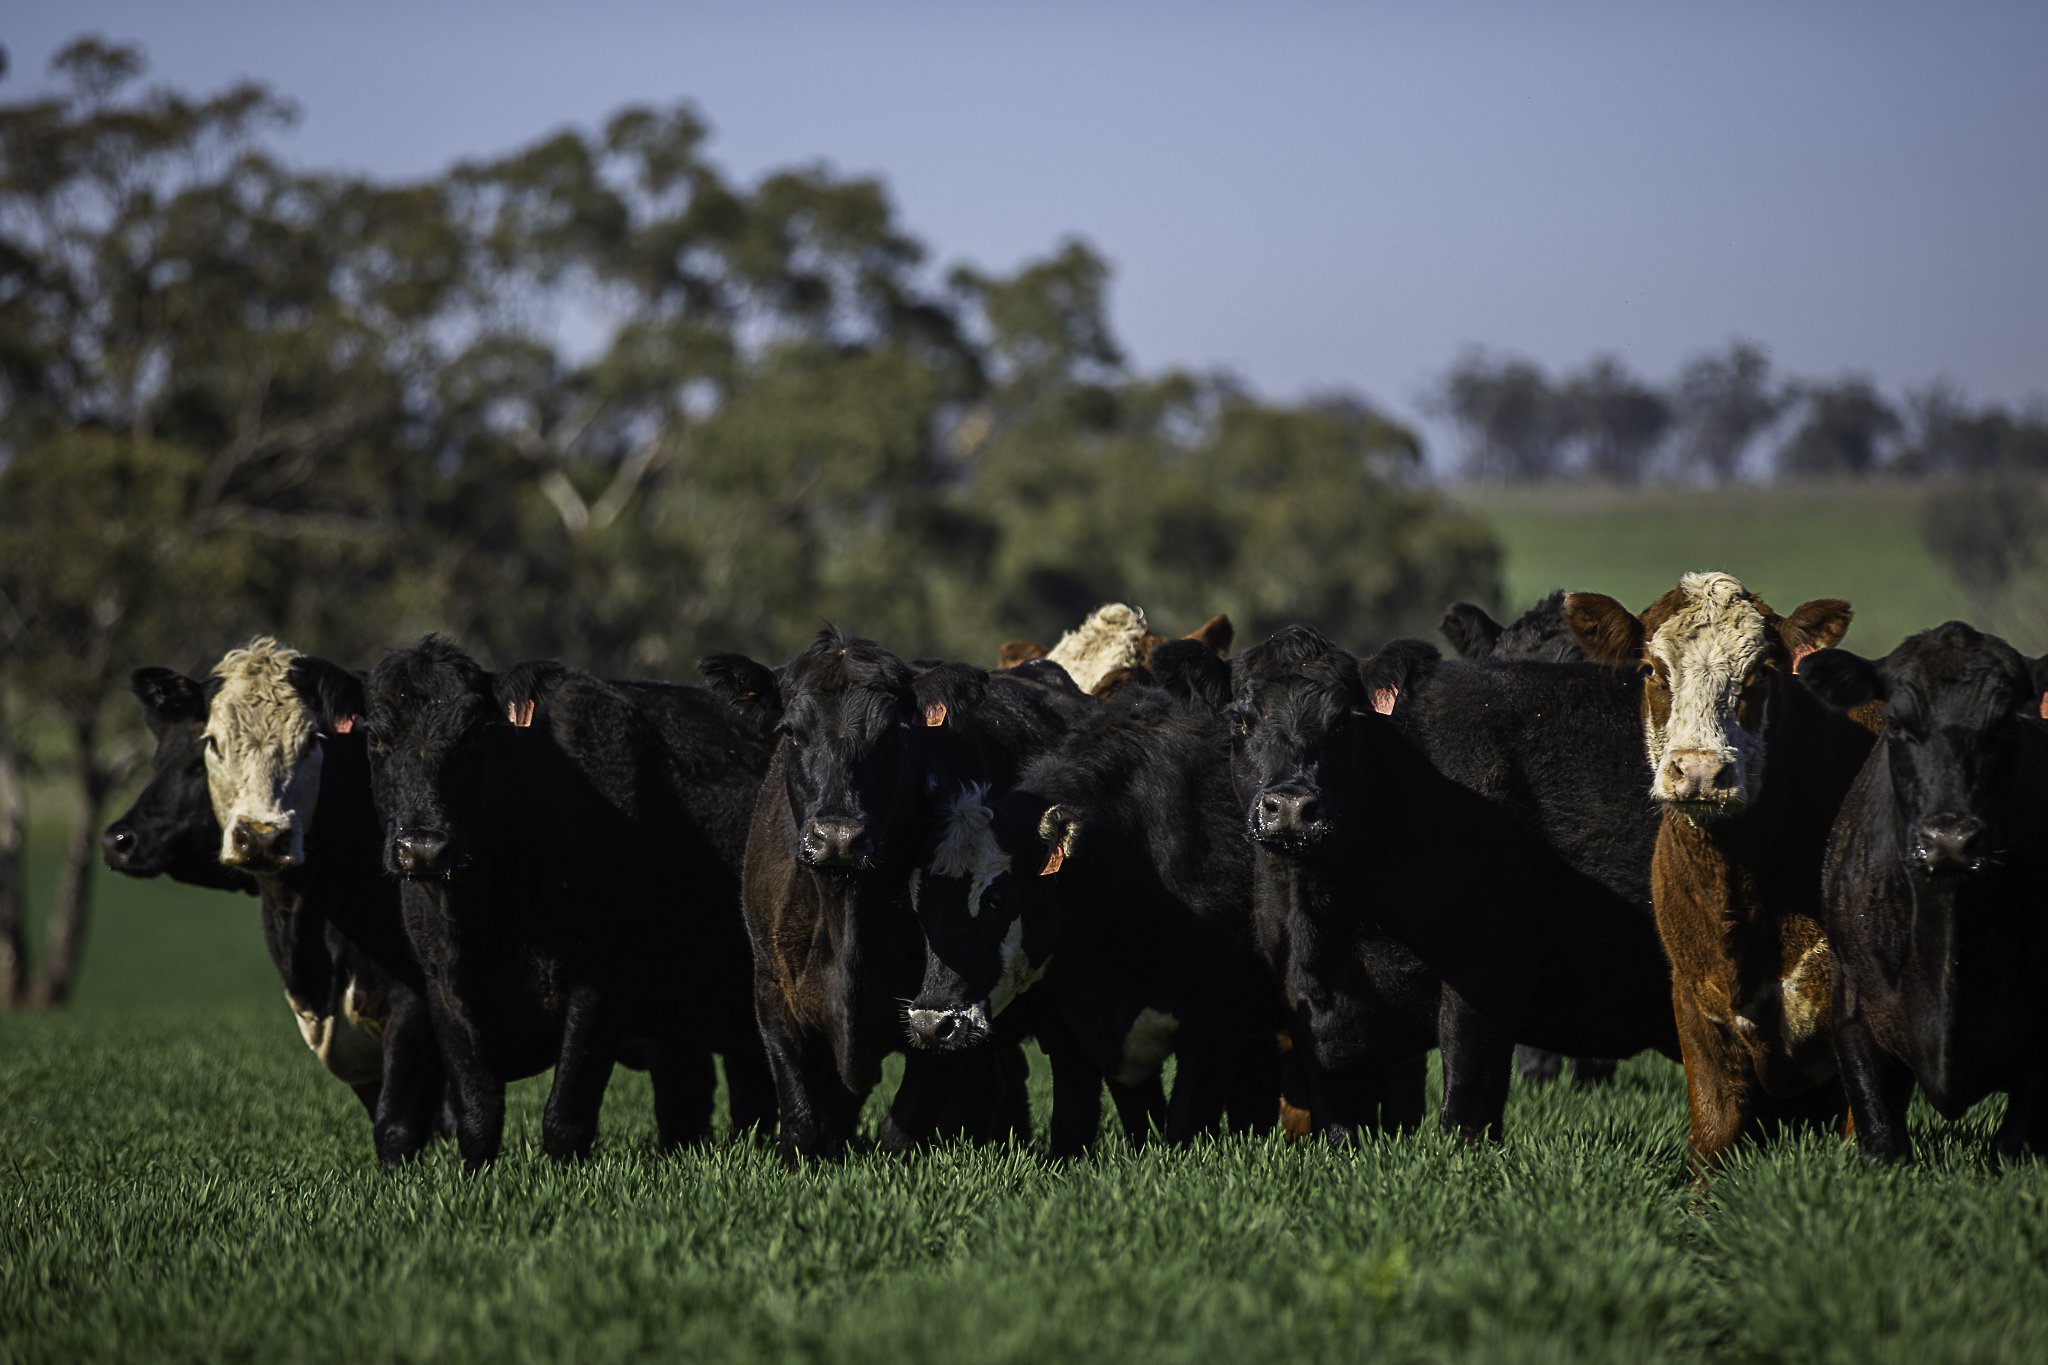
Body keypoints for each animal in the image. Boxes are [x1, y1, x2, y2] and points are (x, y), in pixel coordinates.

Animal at [363, 636, 778, 1167]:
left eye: (474, 737)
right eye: (376, 739)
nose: (423, 847)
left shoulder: (600, 983)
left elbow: (566, 1114)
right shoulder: (441, 989)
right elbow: (476, 1114)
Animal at [699, 630, 1097, 1164]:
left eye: (892, 735)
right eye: (790, 732)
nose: (838, 838)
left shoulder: (945, 1004)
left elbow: (902, 1131)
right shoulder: (773, 992)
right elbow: (804, 1124)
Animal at [901, 687, 1282, 1153]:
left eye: (997, 898)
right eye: (919, 904)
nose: (931, 1024)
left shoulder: (1217, 1020)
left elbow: (1184, 1124)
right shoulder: (1076, 1035)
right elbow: (1077, 1124)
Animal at [1152, 626, 1681, 1143]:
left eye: (1344, 721)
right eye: (1238, 720)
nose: (1291, 807)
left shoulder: (1488, 975)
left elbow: (1465, 1112)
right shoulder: (1302, 998)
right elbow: (1337, 1121)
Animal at [1823, 622, 2048, 1164]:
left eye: (2005, 725)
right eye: (1895, 721)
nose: (1949, 840)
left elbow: (2011, 1144)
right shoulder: (1851, 1006)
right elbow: (1880, 1131)